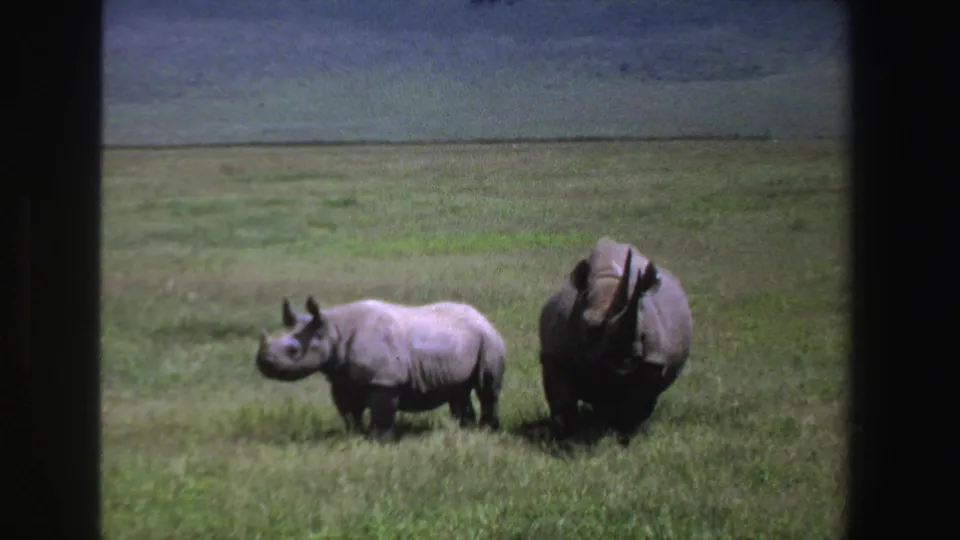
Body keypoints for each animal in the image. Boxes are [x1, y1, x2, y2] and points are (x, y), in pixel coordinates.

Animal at [255, 296, 507, 441]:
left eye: (294, 351)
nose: (262, 362)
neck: (333, 330)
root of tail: (483, 317)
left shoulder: (384, 380)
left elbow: (381, 414)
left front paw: (380, 441)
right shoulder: (341, 378)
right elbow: (349, 412)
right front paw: (355, 437)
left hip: (489, 340)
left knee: (487, 389)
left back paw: (487, 431)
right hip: (461, 341)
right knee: (459, 391)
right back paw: (463, 430)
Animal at [538, 237, 693, 445]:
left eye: (643, 334)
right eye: (590, 329)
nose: (625, 360)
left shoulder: (653, 361)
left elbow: (639, 400)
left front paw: (626, 434)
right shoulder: (555, 354)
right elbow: (562, 400)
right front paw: (566, 436)